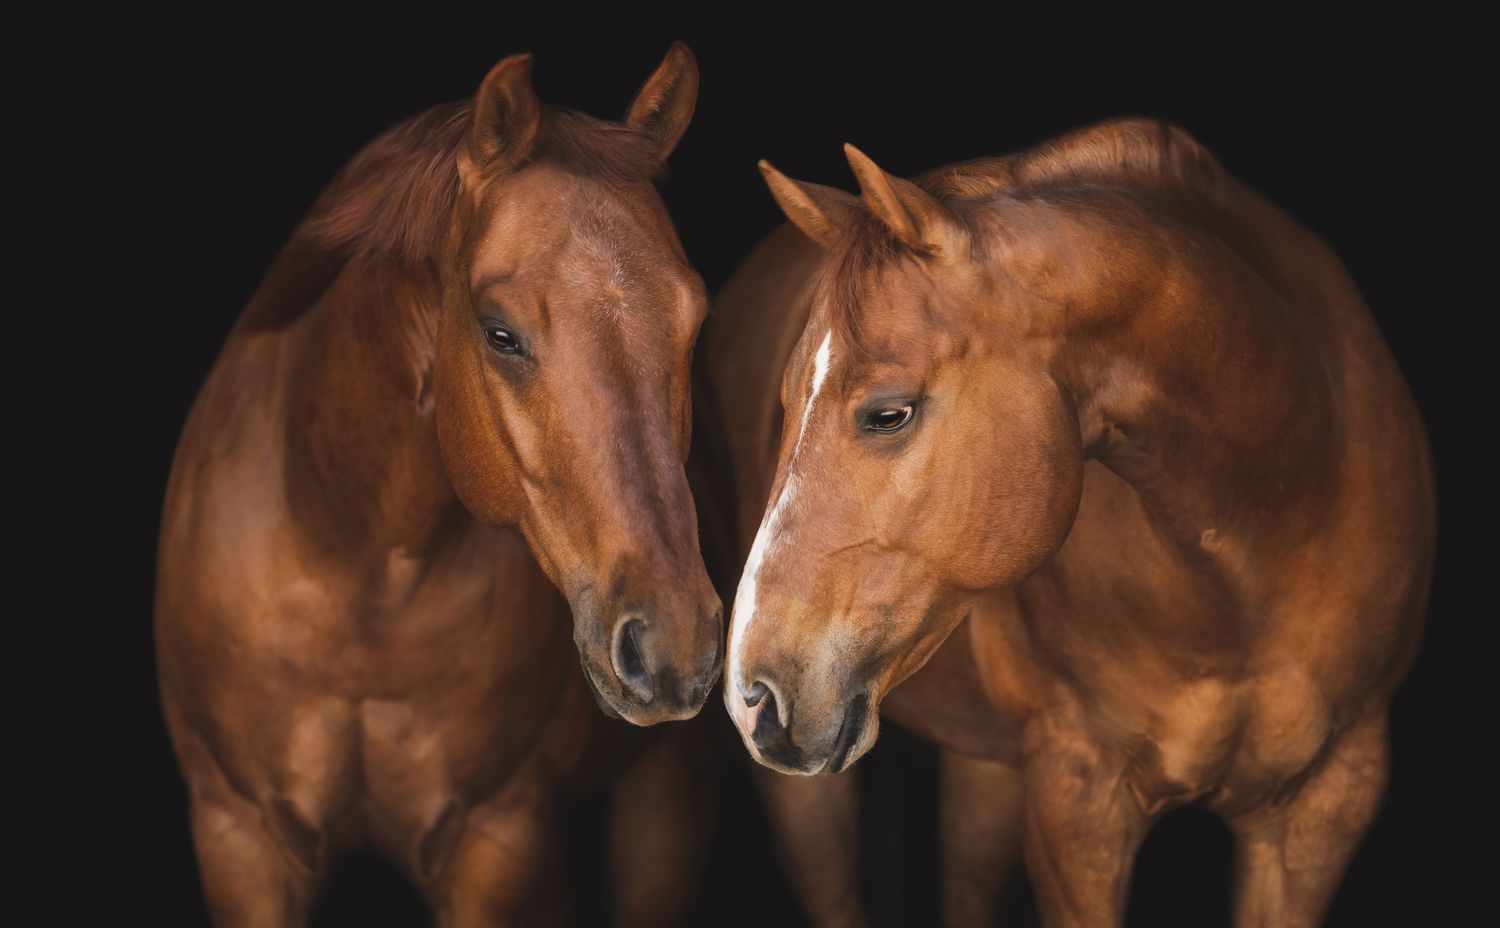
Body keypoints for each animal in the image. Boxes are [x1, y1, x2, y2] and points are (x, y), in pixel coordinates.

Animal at [155, 45, 725, 926]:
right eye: (500, 333)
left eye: (692, 323)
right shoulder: (237, 835)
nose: (675, 643)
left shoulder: (494, 837)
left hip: (663, 797)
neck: (357, 574)